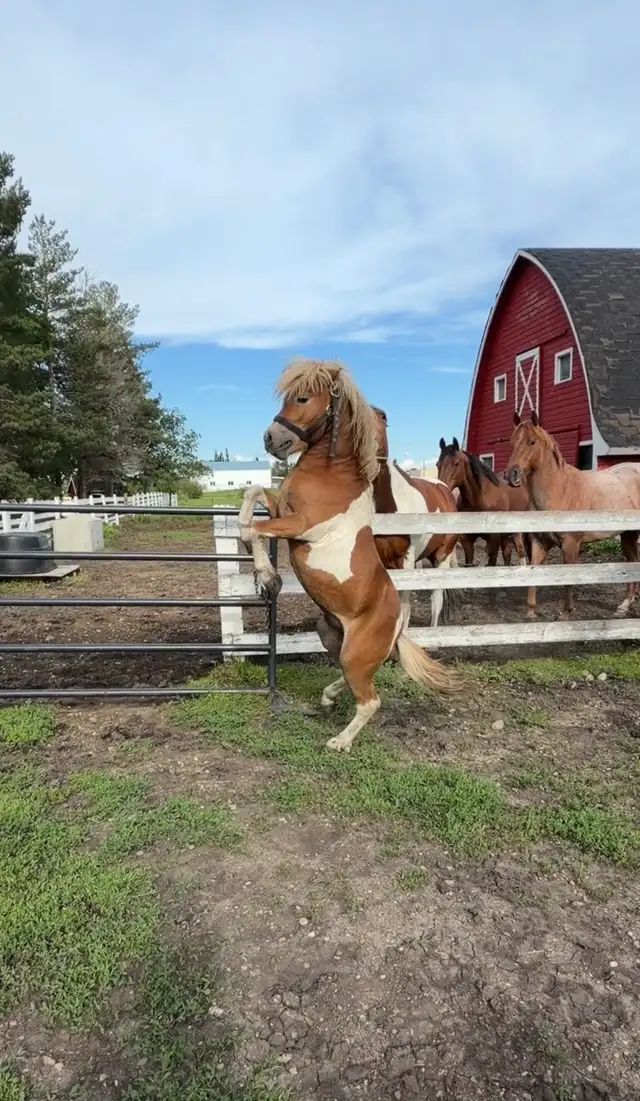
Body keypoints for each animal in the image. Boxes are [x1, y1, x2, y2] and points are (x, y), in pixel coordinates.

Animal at [436, 438, 530, 572]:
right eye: (437, 464)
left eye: (456, 463)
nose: (441, 489)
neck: (479, 498)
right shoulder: (467, 539)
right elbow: (469, 563)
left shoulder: (494, 538)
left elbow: (490, 562)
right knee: (507, 556)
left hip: (516, 533)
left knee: (521, 553)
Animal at [506, 411, 640, 620]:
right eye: (512, 441)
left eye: (532, 441)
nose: (511, 475)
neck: (560, 490)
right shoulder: (539, 542)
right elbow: (533, 571)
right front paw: (530, 611)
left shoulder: (570, 545)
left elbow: (568, 578)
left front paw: (565, 613)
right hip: (628, 535)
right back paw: (624, 606)